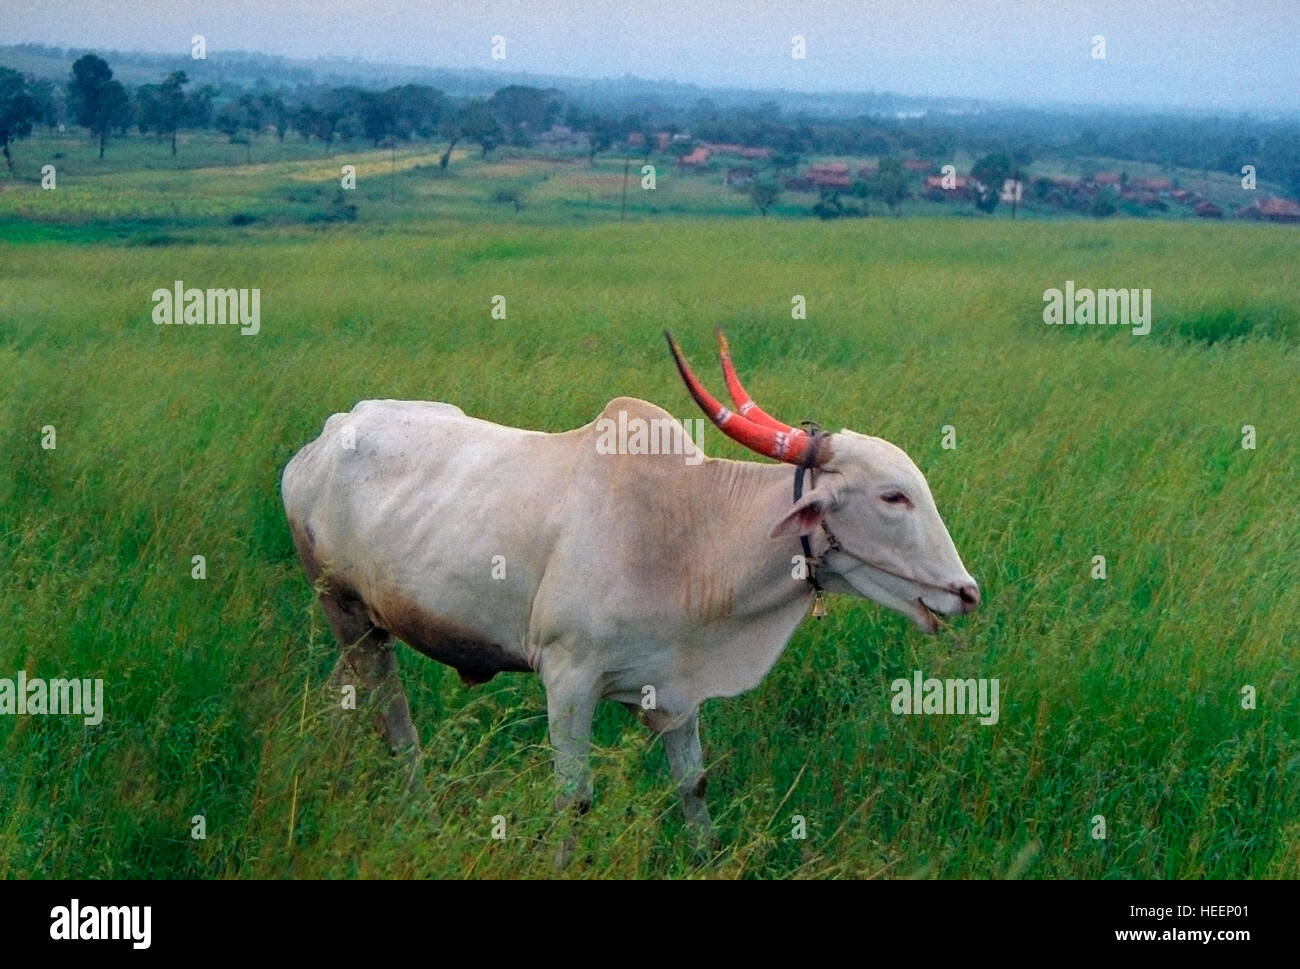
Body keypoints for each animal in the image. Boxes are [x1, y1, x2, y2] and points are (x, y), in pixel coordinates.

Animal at [280, 330, 978, 852]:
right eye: (892, 496)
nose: (966, 592)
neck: (689, 531)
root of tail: (329, 433)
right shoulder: (567, 677)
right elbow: (574, 801)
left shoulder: (678, 690)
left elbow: (693, 787)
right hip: (347, 614)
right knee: (395, 723)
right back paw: (419, 812)